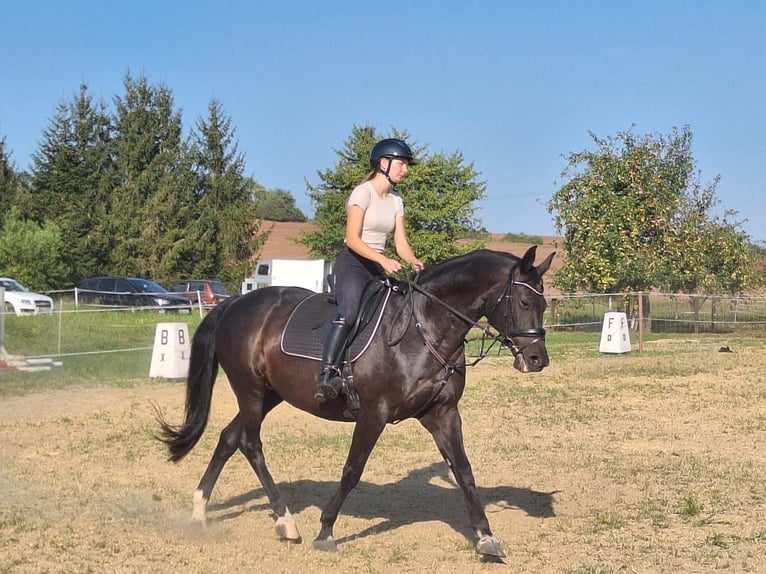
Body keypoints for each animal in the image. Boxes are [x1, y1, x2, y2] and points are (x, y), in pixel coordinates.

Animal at [158, 245, 560, 560]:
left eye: (544, 303)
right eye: (524, 301)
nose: (538, 359)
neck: (423, 330)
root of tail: (234, 304)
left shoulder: (442, 414)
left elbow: (464, 471)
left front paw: (486, 538)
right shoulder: (373, 414)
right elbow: (352, 471)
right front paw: (325, 531)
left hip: (269, 394)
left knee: (229, 438)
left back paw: (200, 511)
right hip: (252, 392)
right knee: (250, 443)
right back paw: (286, 522)